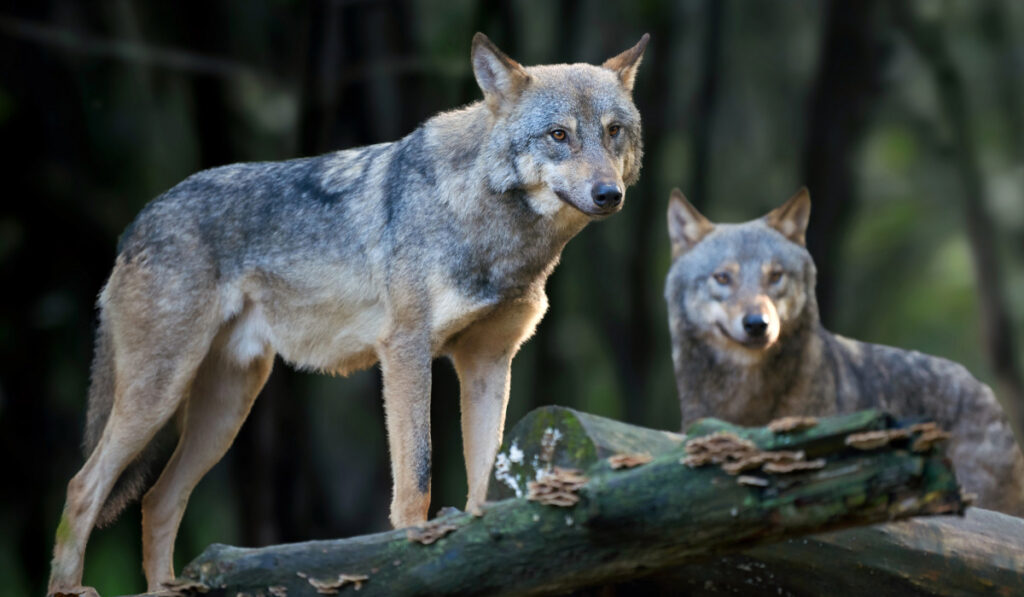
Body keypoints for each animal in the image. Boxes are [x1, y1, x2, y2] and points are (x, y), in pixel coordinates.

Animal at [48, 33, 647, 597]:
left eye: (614, 131)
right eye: (559, 135)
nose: (609, 194)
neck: (494, 227)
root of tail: (137, 222)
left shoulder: (488, 364)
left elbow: (485, 483)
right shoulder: (406, 352)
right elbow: (417, 479)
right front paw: (414, 556)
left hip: (227, 409)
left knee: (157, 501)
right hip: (161, 392)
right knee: (82, 487)